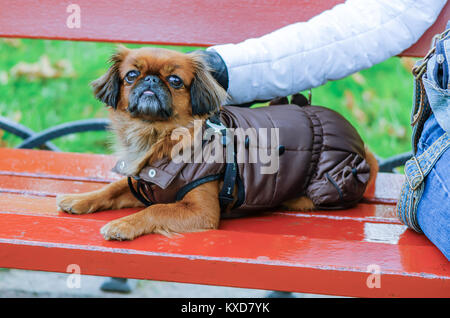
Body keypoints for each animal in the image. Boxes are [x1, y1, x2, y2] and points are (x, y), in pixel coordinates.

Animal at [57, 46, 380, 241]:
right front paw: (79, 199)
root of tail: (360, 146)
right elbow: (113, 189)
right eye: (132, 76)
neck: (158, 137)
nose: (149, 81)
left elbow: (155, 211)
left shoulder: (202, 211)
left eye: (175, 80)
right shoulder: (145, 184)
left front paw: (122, 225)